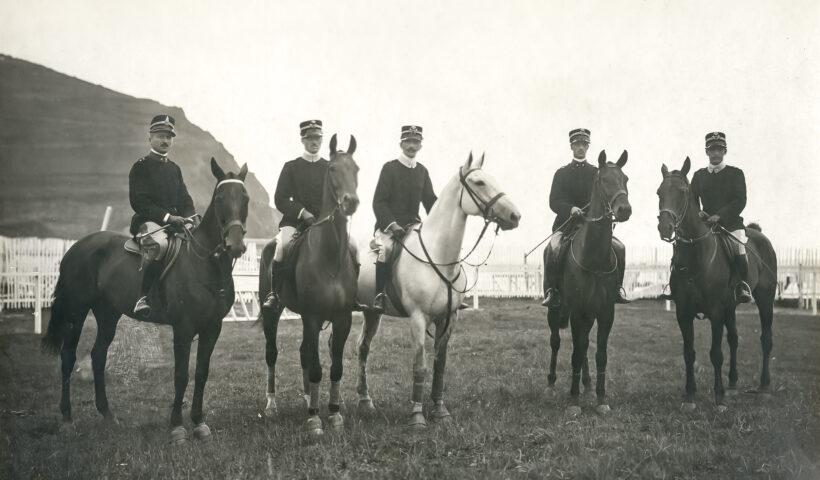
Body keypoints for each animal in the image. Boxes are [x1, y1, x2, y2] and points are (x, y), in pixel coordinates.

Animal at [42, 159, 247, 444]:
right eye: (219, 199)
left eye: (245, 198)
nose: (235, 245)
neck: (204, 263)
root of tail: (77, 246)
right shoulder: (183, 329)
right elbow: (181, 375)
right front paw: (177, 427)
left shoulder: (212, 327)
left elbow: (201, 373)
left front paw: (199, 423)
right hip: (77, 310)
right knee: (68, 356)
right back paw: (67, 419)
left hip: (108, 313)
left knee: (98, 355)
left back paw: (108, 415)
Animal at [256, 134, 358, 436]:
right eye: (332, 169)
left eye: (356, 169)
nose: (351, 202)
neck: (330, 256)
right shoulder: (312, 317)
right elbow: (316, 369)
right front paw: (314, 420)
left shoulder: (342, 318)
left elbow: (334, 367)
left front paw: (334, 414)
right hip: (272, 313)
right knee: (272, 354)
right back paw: (272, 406)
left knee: (304, 353)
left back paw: (305, 397)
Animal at [356, 152, 524, 426]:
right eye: (479, 182)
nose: (514, 216)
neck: (439, 255)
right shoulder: (417, 319)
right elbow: (420, 366)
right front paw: (417, 415)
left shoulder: (448, 318)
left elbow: (439, 365)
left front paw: (440, 410)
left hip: (371, 312)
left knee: (362, 348)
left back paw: (365, 401)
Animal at [548, 151, 632, 416]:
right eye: (603, 179)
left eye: (625, 178)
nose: (624, 210)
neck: (594, 257)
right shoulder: (577, 312)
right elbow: (575, 353)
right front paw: (573, 402)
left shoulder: (605, 312)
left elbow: (599, 354)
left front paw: (601, 398)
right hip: (554, 311)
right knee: (556, 342)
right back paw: (551, 385)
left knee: (584, 346)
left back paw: (586, 385)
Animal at [656, 158, 780, 412]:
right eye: (659, 192)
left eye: (683, 192)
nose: (665, 228)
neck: (695, 255)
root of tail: (760, 235)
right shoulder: (684, 313)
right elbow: (689, 352)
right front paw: (690, 395)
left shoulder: (715, 311)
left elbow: (715, 353)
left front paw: (719, 397)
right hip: (730, 307)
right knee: (734, 339)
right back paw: (732, 384)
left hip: (765, 301)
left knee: (766, 340)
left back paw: (763, 388)